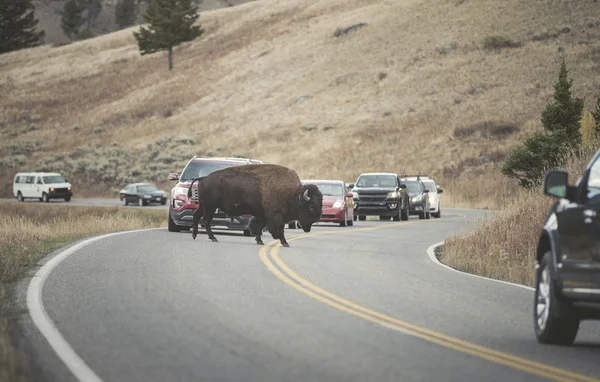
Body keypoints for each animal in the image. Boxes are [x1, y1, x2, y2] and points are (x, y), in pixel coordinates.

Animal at [188, 163, 324, 248]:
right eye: (311, 207)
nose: (316, 219)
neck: (293, 195)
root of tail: (203, 178)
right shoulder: (275, 215)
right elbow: (278, 229)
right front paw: (285, 243)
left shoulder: (262, 215)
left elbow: (258, 227)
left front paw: (259, 241)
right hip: (210, 207)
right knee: (206, 220)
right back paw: (213, 238)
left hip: (203, 206)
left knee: (196, 216)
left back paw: (194, 235)